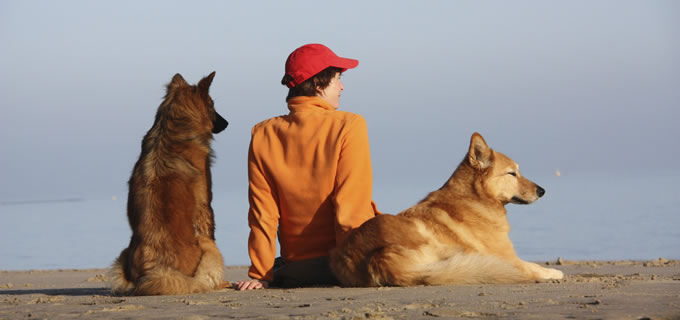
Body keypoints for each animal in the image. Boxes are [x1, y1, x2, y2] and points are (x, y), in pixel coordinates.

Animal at [109, 72, 230, 296]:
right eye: (211, 105)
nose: (227, 123)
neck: (170, 129)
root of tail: (157, 270)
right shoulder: (205, 207)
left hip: (124, 254)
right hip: (207, 245)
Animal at [330, 131, 564, 286]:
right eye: (512, 173)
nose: (542, 191)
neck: (476, 198)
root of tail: (377, 260)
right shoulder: (507, 256)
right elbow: (532, 266)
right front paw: (553, 273)